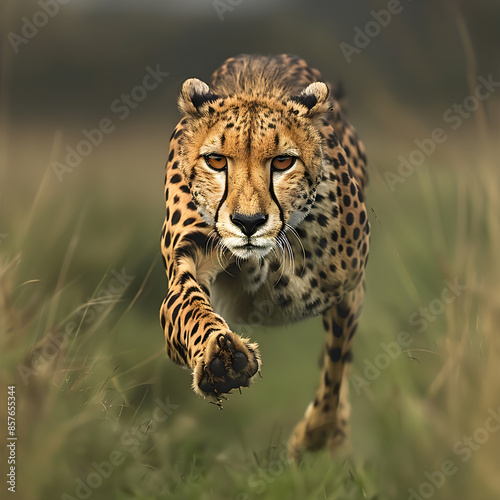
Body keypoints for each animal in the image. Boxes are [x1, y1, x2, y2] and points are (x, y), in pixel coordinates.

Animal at [158, 53, 370, 458]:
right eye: (216, 161)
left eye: (283, 162)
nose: (248, 222)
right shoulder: (187, 259)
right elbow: (188, 307)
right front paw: (221, 359)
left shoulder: (349, 288)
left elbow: (337, 363)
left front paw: (315, 436)